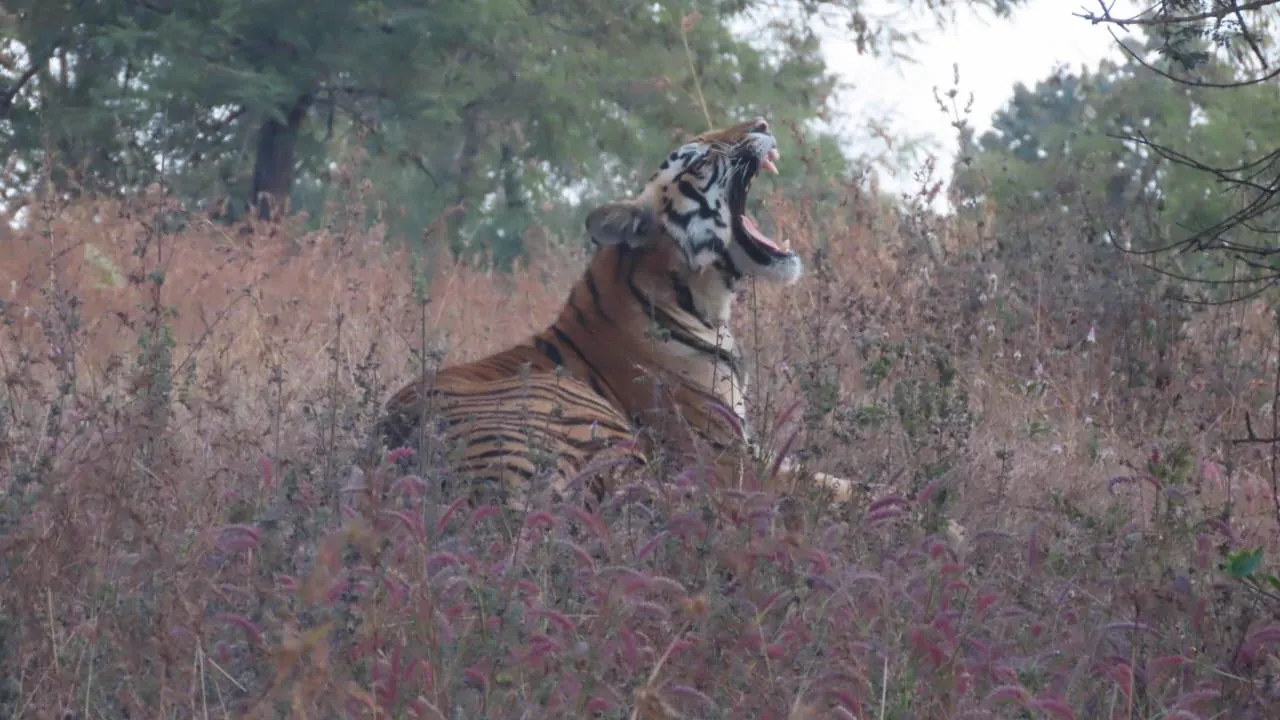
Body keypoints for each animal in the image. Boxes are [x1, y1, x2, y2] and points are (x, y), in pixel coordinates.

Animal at [379, 117, 853, 509]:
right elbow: (826, 486)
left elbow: (829, 477)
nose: (762, 123)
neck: (704, 301)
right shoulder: (726, 457)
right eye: (701, 158)